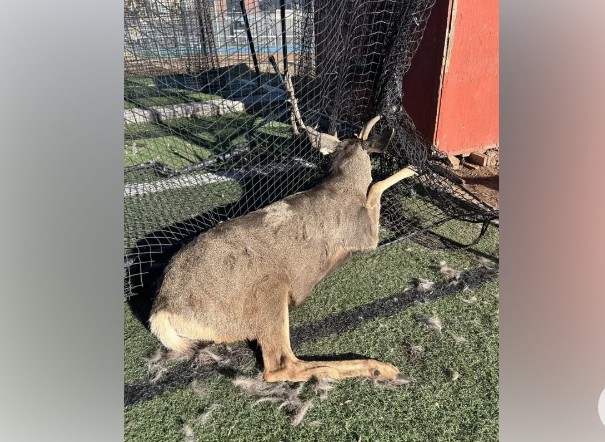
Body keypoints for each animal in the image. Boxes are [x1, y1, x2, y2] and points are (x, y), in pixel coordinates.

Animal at [149, 66, 418, 384]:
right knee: (280, 365)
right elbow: (375, 187)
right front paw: (410, 168)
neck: (341, 183)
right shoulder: (363, 234)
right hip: (269, 289)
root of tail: (162, 310)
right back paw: (368, 367)